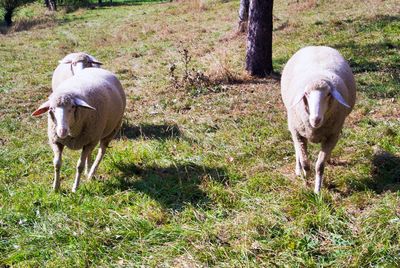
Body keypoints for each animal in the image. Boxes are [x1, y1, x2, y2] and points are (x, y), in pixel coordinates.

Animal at [282, 45, 356, 193]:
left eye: (328, 94)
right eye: (306, 94)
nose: (316, 119)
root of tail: (317, 46)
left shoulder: (332, 136)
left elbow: (319, 166)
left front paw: (317, 190)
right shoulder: (298, 133)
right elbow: (305, 163)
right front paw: (306, 181)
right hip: (294, 127)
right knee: (297, 149)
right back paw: (298, 169)